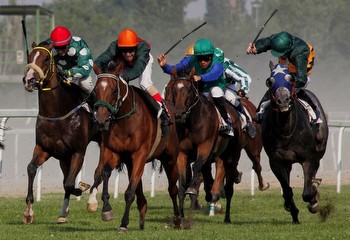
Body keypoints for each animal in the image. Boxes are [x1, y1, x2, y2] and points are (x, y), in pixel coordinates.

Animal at [21, 41, 100, 223]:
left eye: (45, 59)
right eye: (29, 58)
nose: (29, 80)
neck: (56, 114)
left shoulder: (78, 151)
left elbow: (70, 184)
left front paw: (82, 187)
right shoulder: (45, 148)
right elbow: (31, 168)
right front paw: (28, 212)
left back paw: (93, 201)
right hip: (64, 157)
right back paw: (63, 214)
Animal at [87, 62, 180, 232]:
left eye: (114, 90)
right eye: (95, 91)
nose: (102, 120)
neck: (125, 122)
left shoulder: (140, 154)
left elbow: (130, 192)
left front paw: (124, 223)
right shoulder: (113, 152)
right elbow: (105, 173)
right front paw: (107, 210)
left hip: (170, 158)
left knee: (173, 189)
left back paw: (178, 218)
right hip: (131, 163)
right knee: (139, 188)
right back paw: (142, 214)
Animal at [165, 68, 270, 223]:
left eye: (189, 90)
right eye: (172, 89)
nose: (178, 114)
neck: (193, 122)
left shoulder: (206, 147)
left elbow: (199, 168)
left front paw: (198, 192)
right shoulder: (183, 153)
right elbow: (184, 180)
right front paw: (181, 214)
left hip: (251, 148)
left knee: (256, 165)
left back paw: (262, 185)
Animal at [262, 61, 328, 223]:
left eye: (291, 79)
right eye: (270, 81)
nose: (283, 100)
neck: (287, 130)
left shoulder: (308, 159)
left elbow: (307, 193)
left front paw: (314, 202)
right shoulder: (277, 161)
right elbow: (287, 190)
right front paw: (292, 210)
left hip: (318, 152)